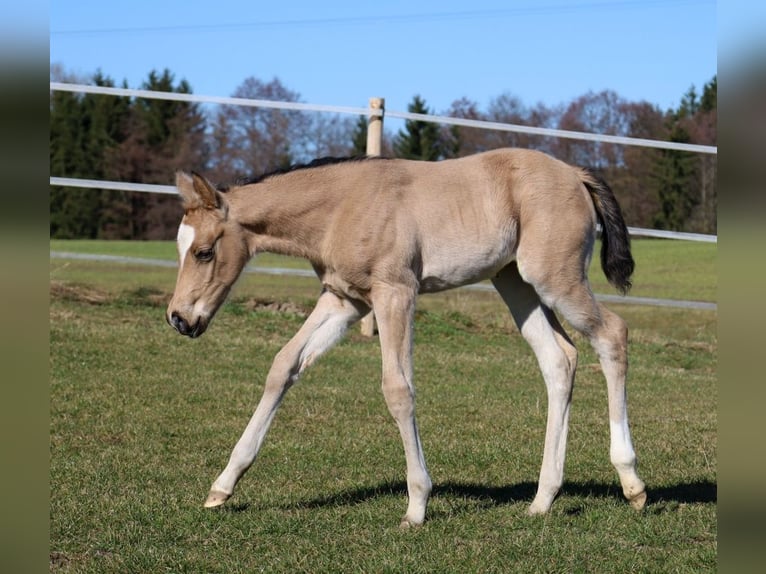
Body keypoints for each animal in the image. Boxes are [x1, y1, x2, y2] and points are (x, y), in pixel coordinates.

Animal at [166, 148, 647, 527]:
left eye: (204, 252)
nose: (179, 319)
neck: (342, 206)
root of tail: (575, 173)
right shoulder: (344, 300)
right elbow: (284, 365)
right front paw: (222, 486)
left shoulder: (395, 293)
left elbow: (398, 389)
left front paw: (417, 504)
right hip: (515, 283)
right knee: (560, 359)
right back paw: (543, 500)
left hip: (554, 279)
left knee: (612, 336)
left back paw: (632, 483)